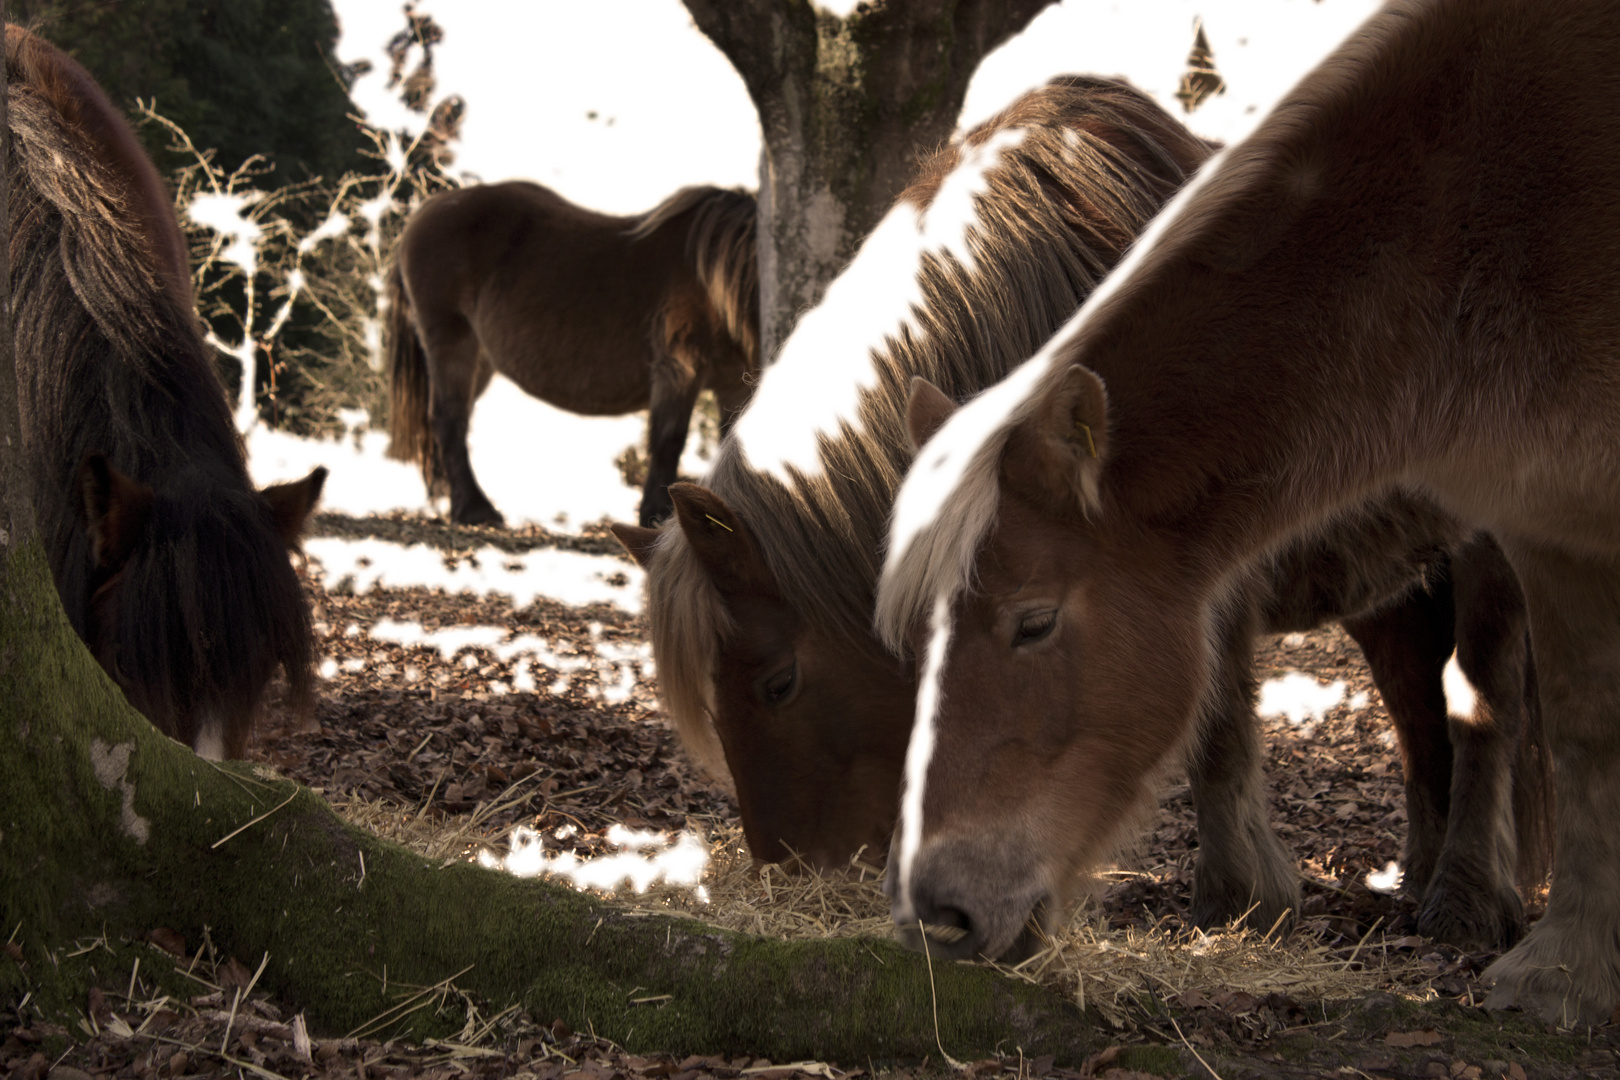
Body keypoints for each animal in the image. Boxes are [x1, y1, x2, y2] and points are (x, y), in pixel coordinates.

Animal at [385, 180, 758, 527]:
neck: (717, 279)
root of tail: (428, 208)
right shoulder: (678, 368)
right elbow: (669, 440)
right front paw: (656, 514)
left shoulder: (734, 382)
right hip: (451, 342)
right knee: (449, 419)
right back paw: (476, 510)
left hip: (480, 360)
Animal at [881, 0, 1620, 1023]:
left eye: (1035, 622)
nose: (939, 912)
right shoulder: (1550, 520)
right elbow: (1593, 724)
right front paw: (1578, 972)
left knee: (1481, 701)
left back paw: (1467, 901)